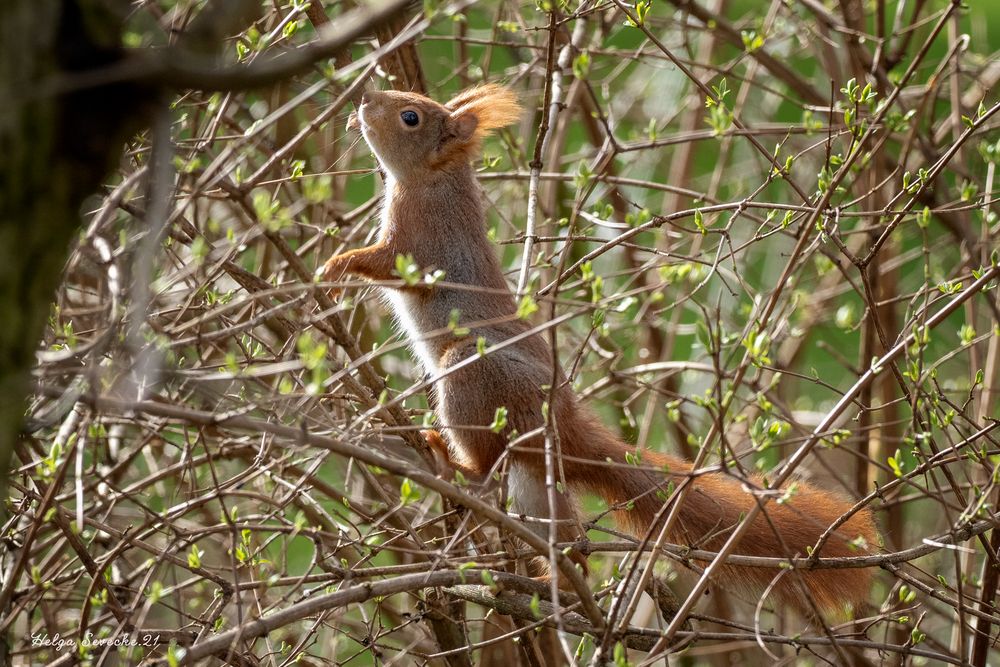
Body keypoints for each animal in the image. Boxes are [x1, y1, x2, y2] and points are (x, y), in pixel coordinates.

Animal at [322, 85, 876, 616]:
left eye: (410, 116)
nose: (364, 99)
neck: (432, 180)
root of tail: (565, 426)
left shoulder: (420, 239)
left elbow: (386, 261)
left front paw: (336, 266)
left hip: (473, 376)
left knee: (485, 472)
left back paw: (451, 464)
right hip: (535, 474)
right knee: (559, 528)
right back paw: (561, 580)